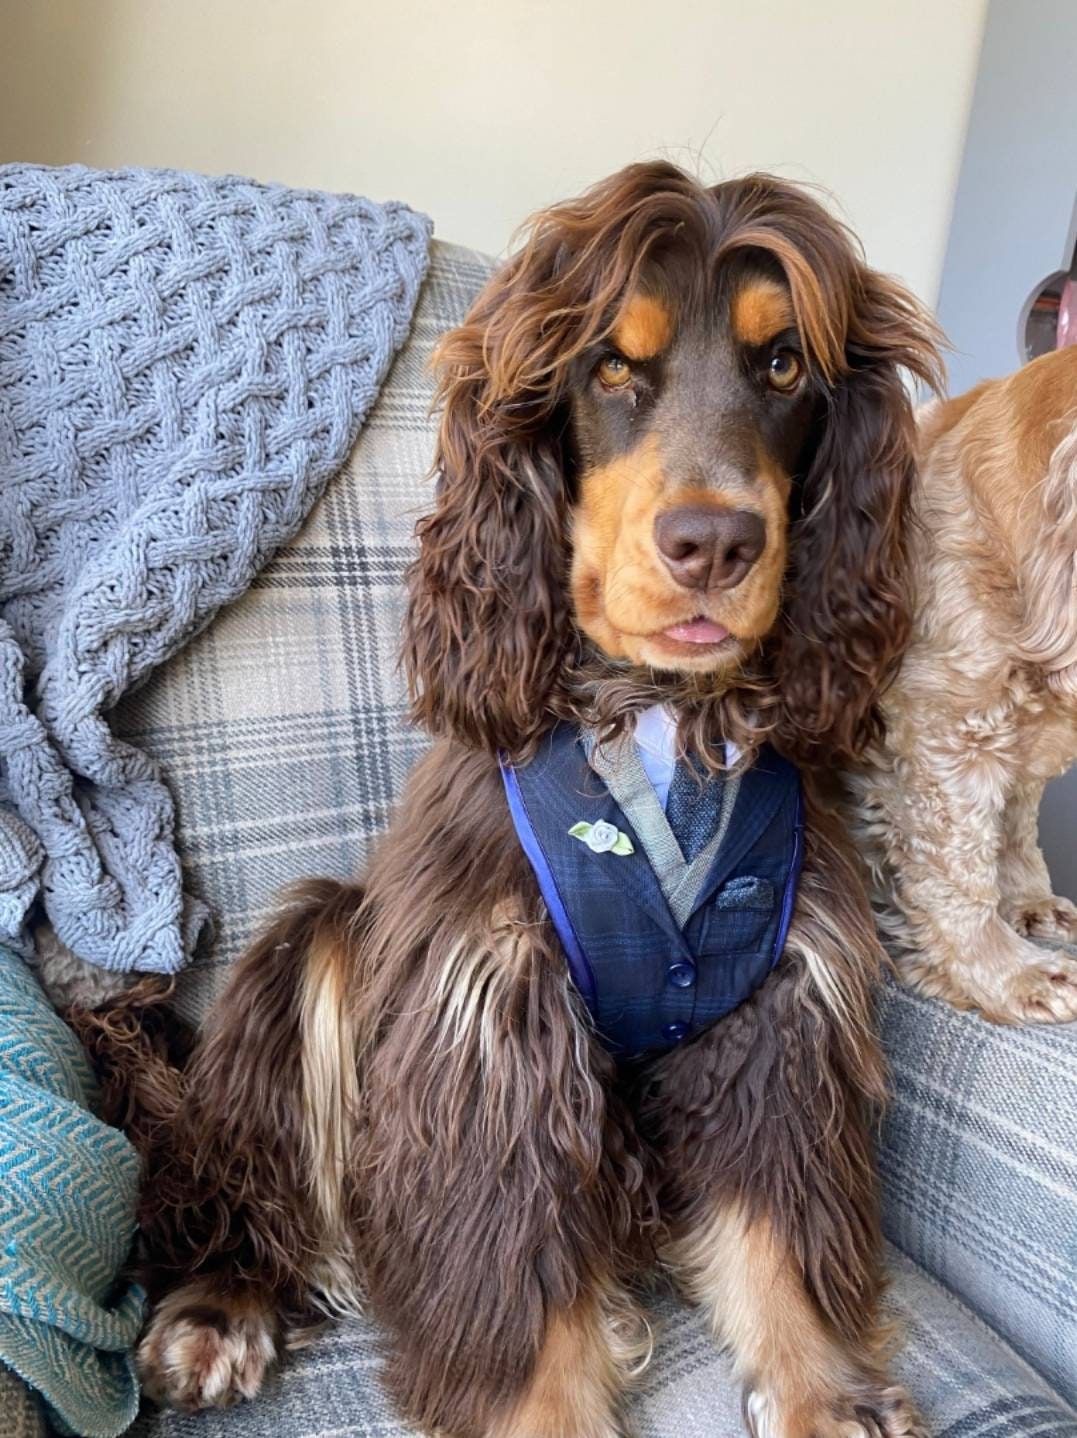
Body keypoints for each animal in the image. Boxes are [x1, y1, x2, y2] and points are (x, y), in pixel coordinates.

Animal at [104, 162, 943, 1438]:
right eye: (611, 367)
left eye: (784, 364)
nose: (714, 544)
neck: (660, 719)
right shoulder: (491, 1008)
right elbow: (515, 1267)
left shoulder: (781, 993)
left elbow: (776, 1218)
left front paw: (822, 1390)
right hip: (317, 946)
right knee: (251, 1181)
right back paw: (221, 1304)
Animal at [848, 346, 1077, 1024]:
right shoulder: (942, 733)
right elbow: (959, 873)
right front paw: (1008, 975)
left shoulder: (1021, 741)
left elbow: (1015, 829)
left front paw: (1028, 901)